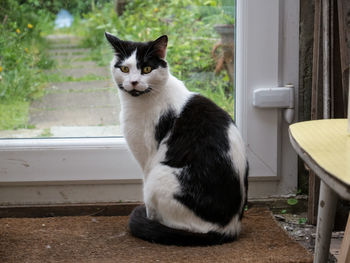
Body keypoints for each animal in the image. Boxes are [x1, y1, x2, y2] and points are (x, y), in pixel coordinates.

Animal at [104, 33, 249, 248]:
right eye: (125, 69)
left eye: (147, 69)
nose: (134, 82)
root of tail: (229, 229)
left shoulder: (148, 160)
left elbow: (148, 203)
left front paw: (149, 220)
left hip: (159, 177)